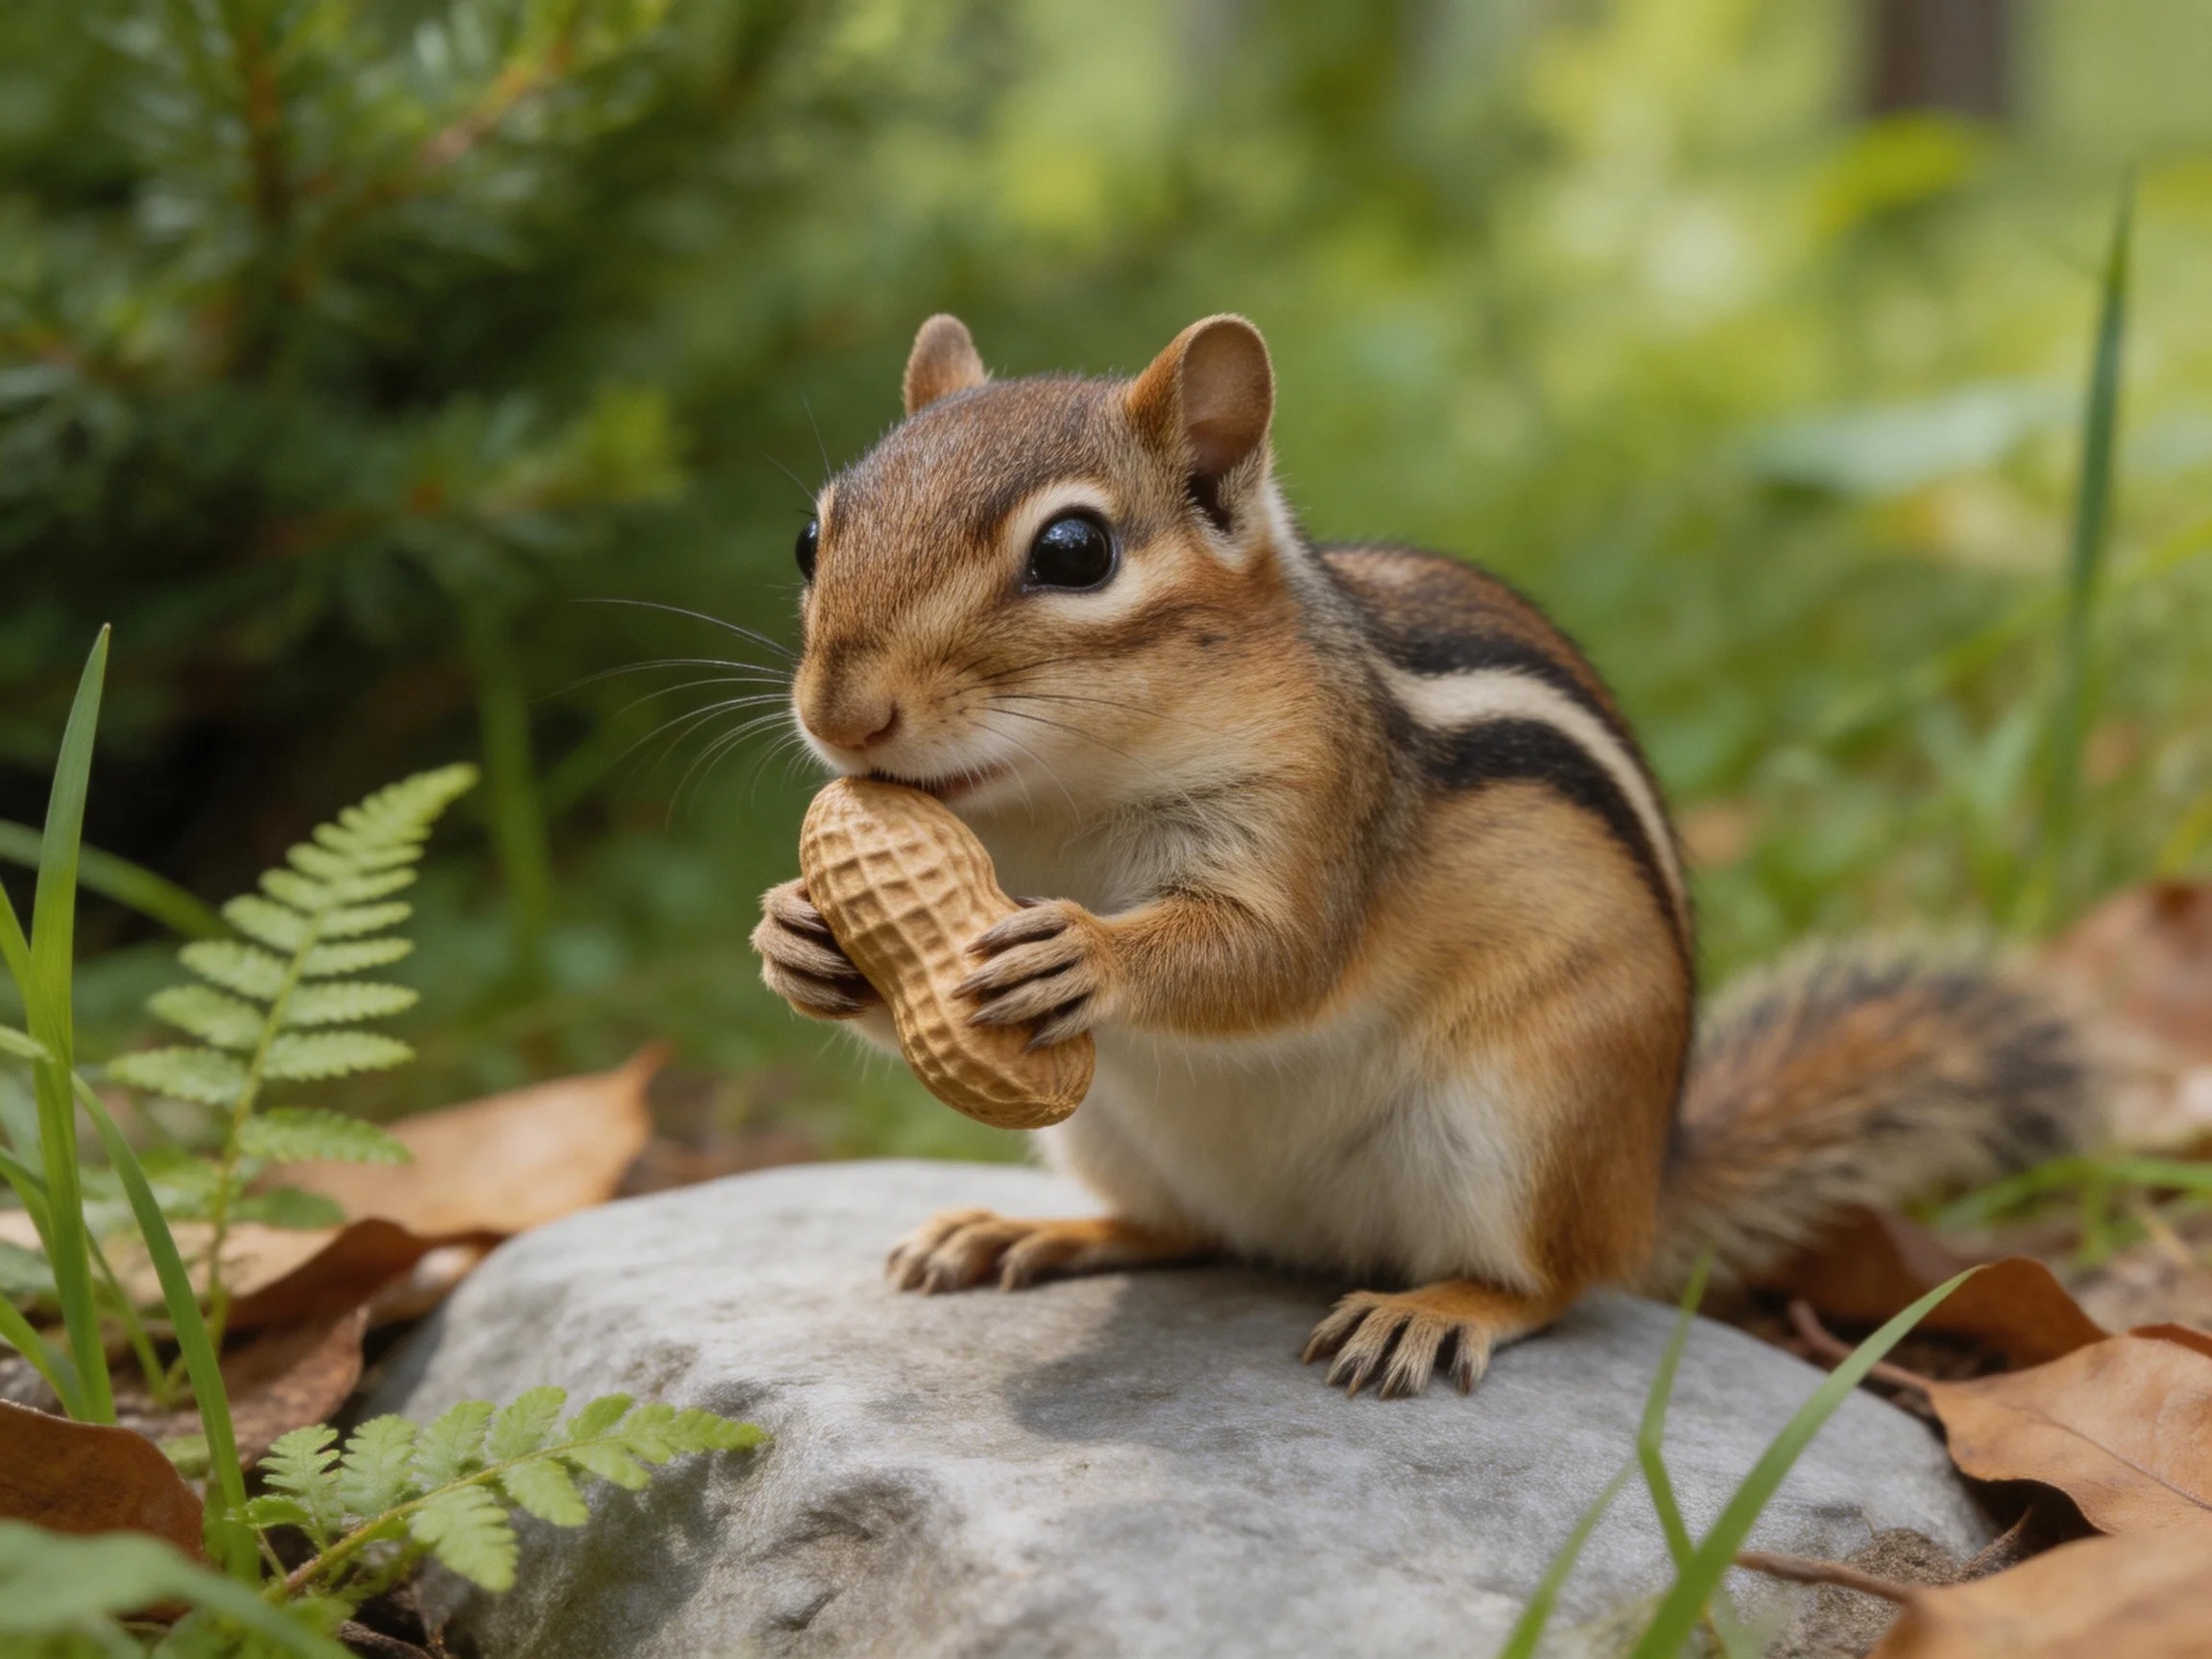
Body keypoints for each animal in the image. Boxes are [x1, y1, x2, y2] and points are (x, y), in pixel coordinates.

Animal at [750, 312, 2096, 1399]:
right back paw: (1035, 1234)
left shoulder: (1323, 811)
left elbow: (1277, 958)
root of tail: (1647, 1188)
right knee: (1181, 1231)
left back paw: (1438, 1310)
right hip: (1114, 1133)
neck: (1052, 807)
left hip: (1524, 1118)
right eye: (812, 535)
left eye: (1074, 551)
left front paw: (1089, 952)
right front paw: (799, 940)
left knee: (1557, 1285)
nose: (840, 715)